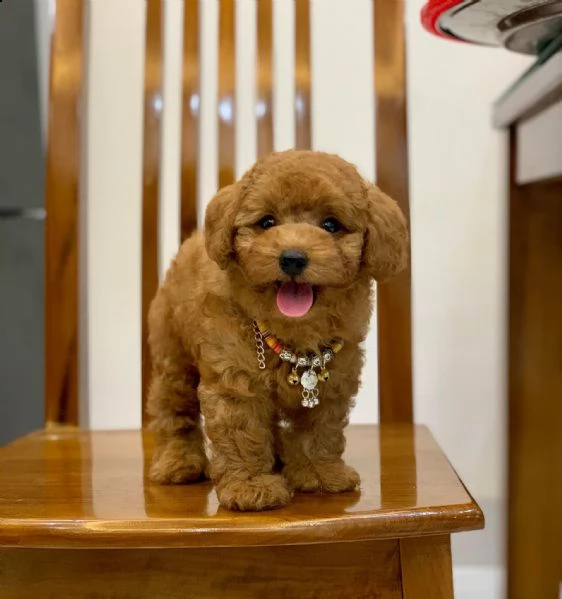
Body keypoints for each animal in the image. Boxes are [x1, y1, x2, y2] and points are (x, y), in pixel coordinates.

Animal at [147, 149, 404, 510]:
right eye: (267, 222)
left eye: (331, 225)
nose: (292, 258)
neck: (292, 331)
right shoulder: (235, 381)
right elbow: (242, 432)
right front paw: (251, 487)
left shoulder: (333, 382)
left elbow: (320, 430)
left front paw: (319, 473)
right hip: (174, 354)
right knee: (175, 411)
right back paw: (178, 462)